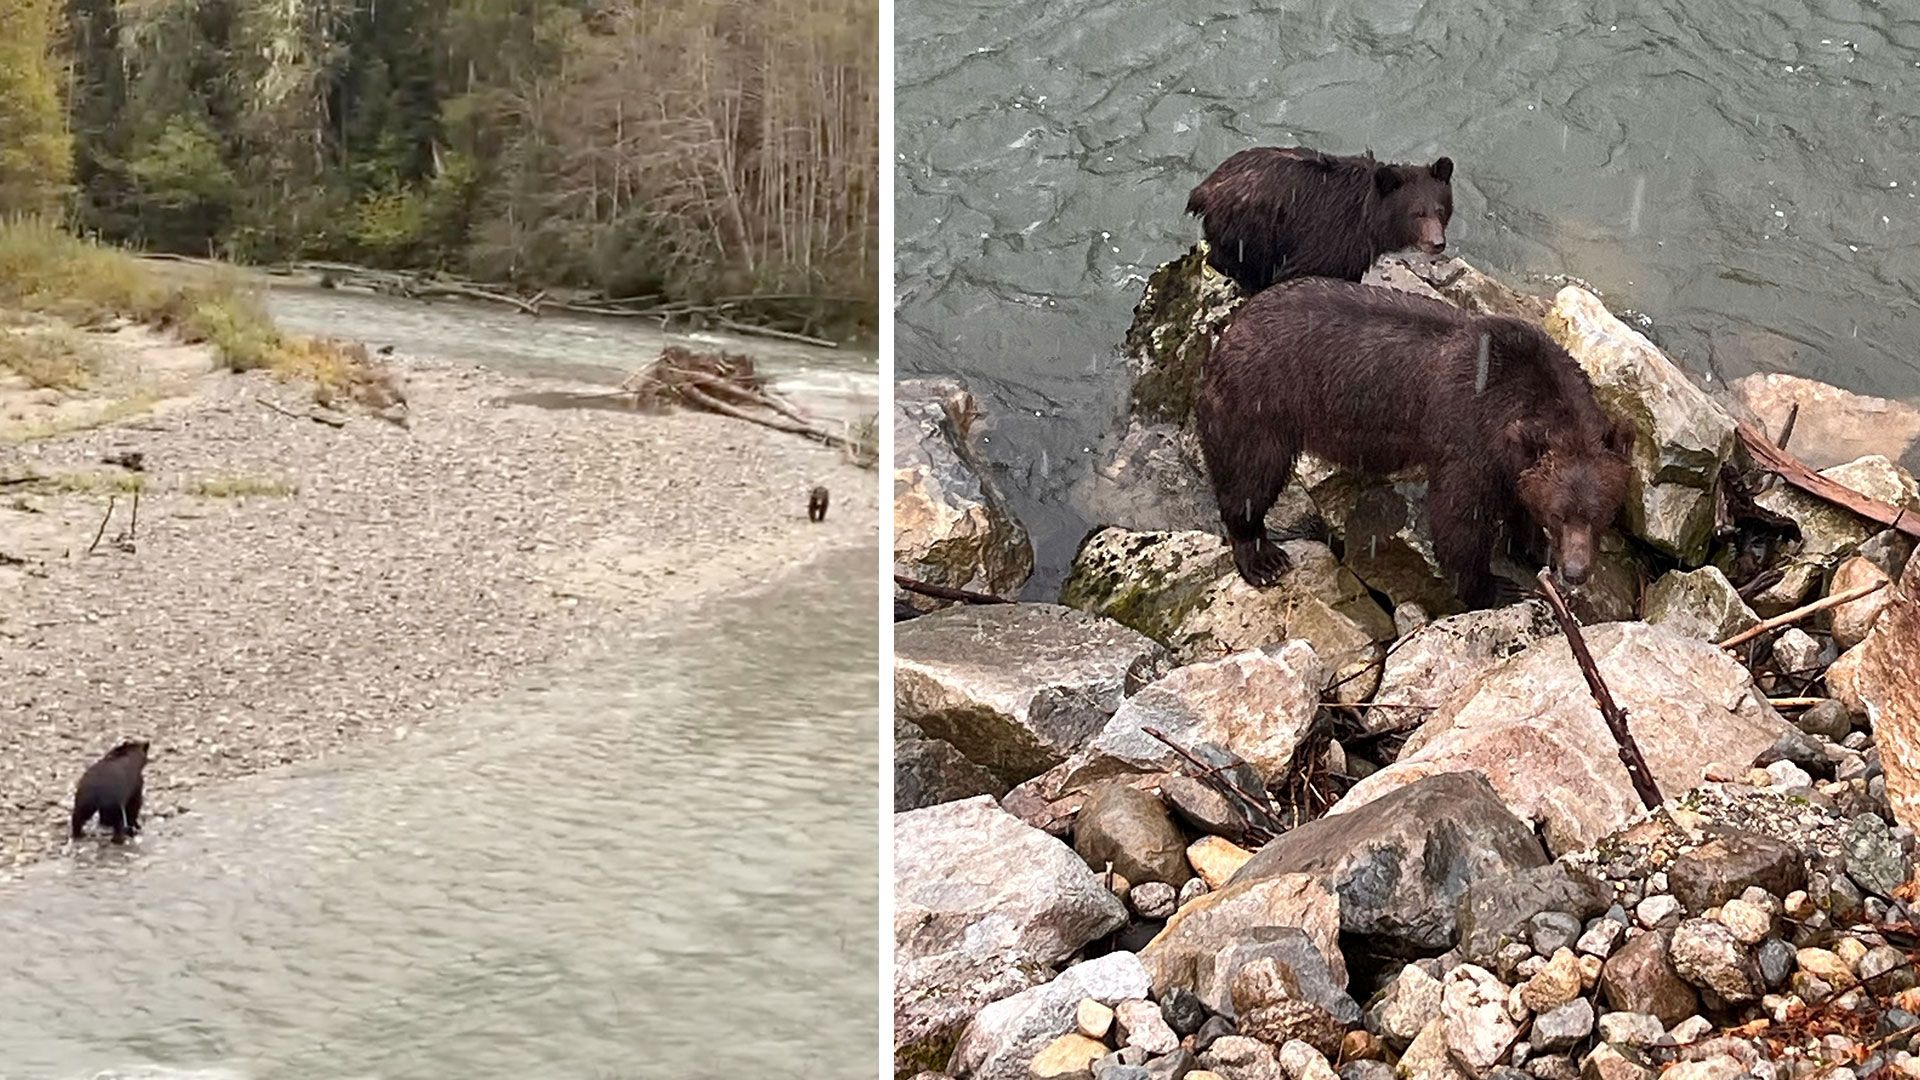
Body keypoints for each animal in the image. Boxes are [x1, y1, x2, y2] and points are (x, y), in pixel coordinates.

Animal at [1186, 146, 1455, 295]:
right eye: (1417, 213)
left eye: (1440, 210)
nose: (1437, 243)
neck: (1369, 220)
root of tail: (1203, 189)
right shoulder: (1332, 238)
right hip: (1253, 230)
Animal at [1195, 277, 1634, 610]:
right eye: (1561, 514)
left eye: (1598, 514)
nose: (1577, 570)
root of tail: (1233, 325)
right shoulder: (1469, 436)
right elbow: (1459, 518)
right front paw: (1495, 586)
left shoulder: (1517, 458)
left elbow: (1518, 499)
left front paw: (1533, 547)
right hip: (1260, 400)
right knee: (1251, 474)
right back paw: (1262, 557)